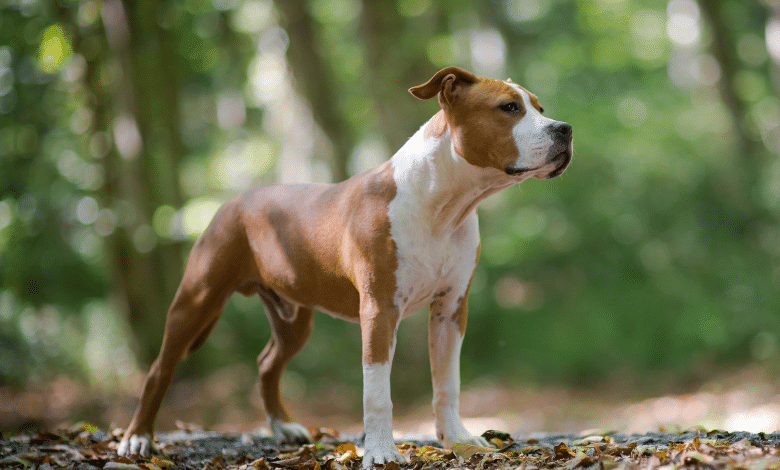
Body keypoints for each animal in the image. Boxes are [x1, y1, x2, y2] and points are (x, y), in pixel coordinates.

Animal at [120, 66, 572, 466]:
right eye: (509, 108)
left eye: (540, 107)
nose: (565, 129)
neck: (444, 204)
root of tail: (233, 201)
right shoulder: (379, 310)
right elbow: (377, 392)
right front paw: (381, 453)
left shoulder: (450, 309)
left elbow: (448, 383)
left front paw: (458, 439)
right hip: (197, 300)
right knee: (159, 369)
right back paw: (138, 439)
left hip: (294, 319)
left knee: (267, 362)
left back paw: (284, 426)